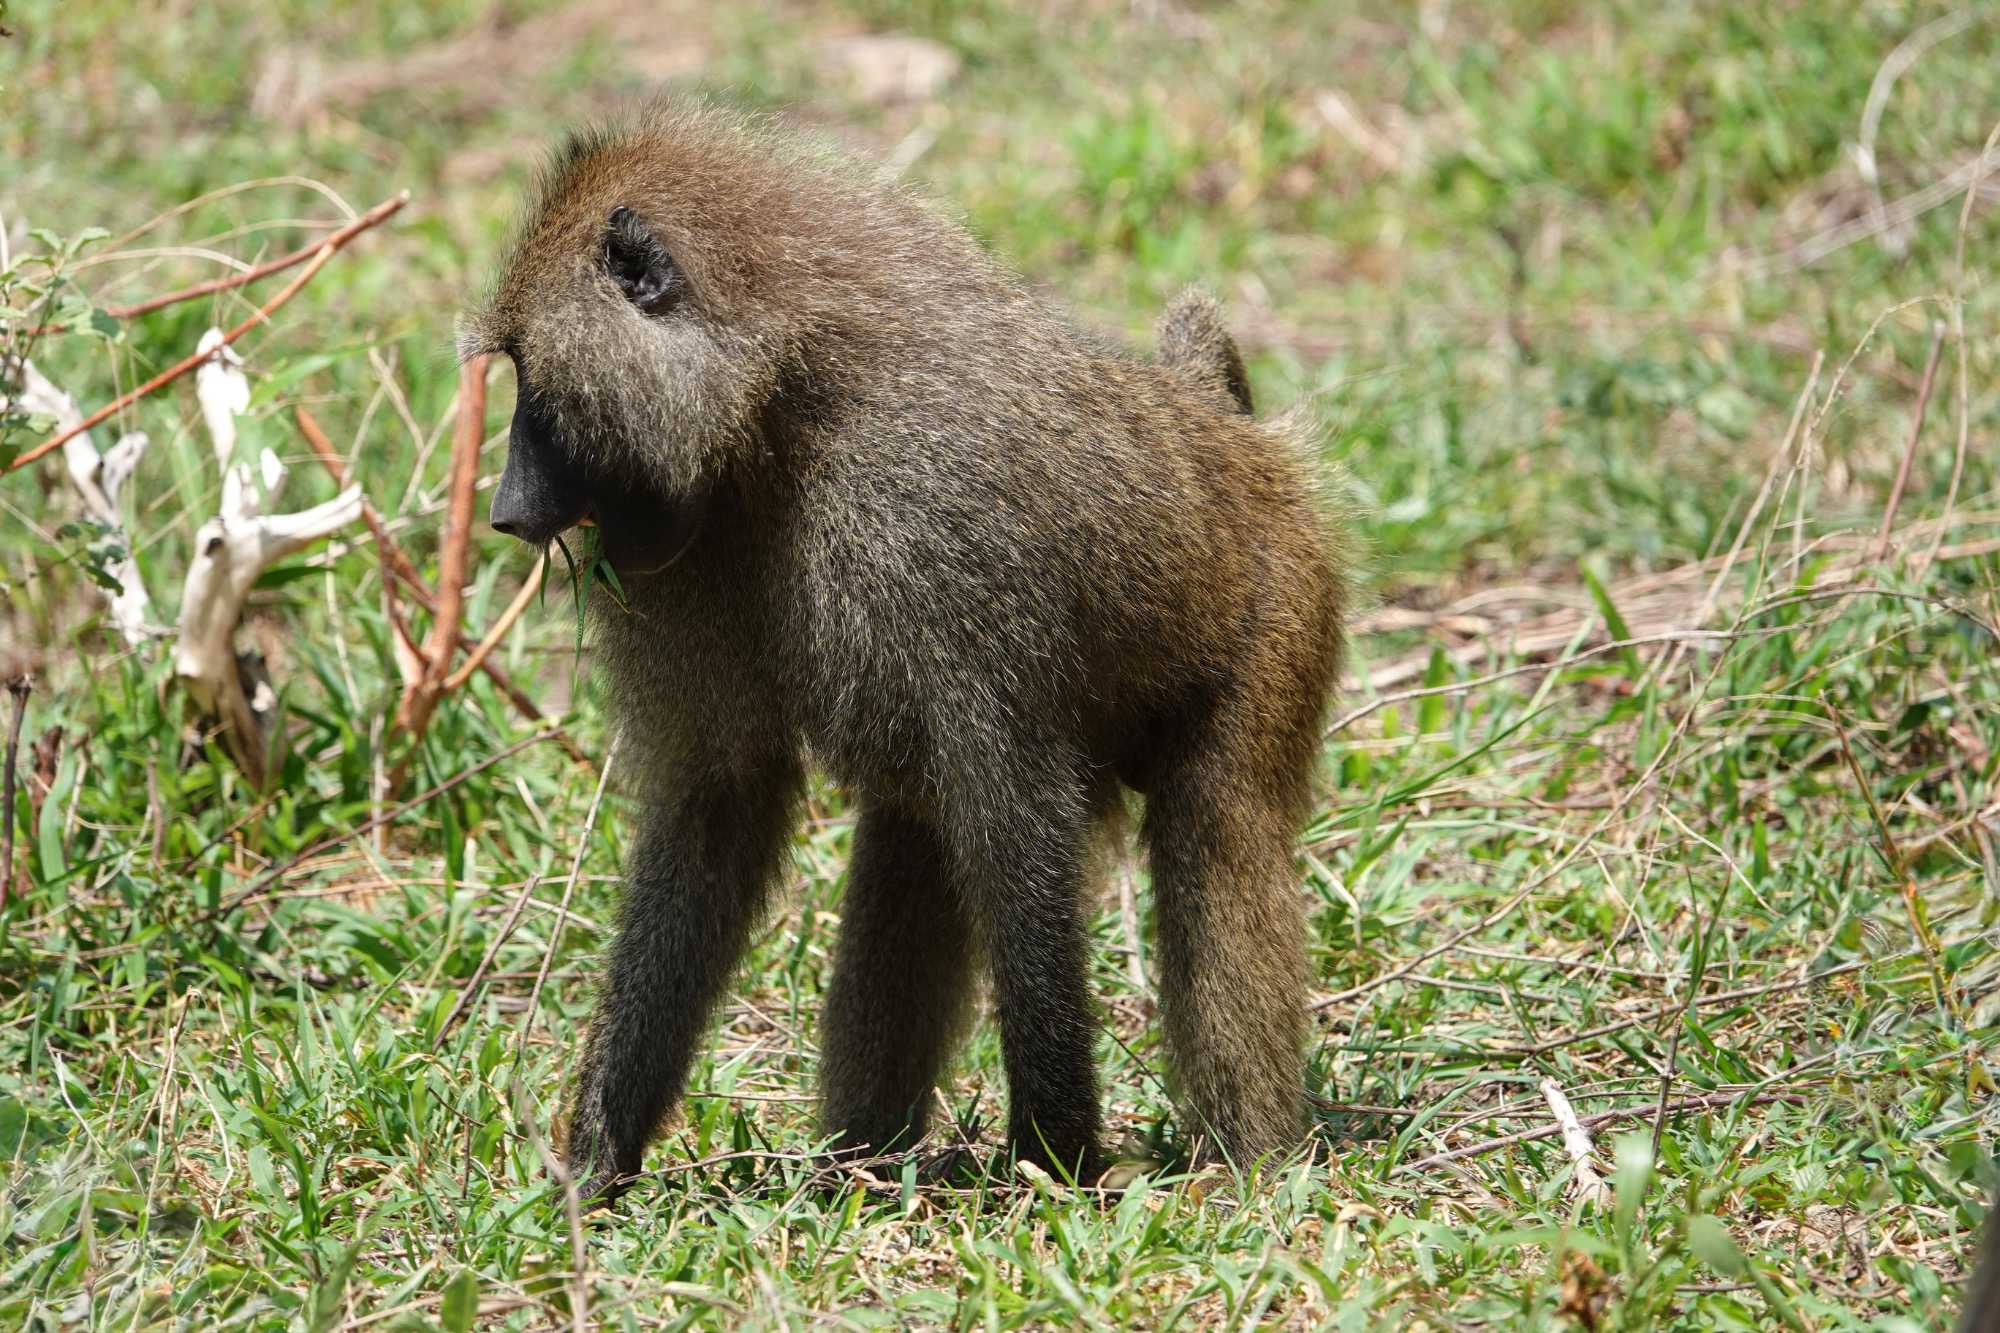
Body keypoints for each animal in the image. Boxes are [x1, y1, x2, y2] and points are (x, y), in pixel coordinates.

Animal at [462, 98, 1346, 1203]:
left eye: (532, 384)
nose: (505, 512)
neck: (780, 411)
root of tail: (1228, 431)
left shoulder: (928, 509)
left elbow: (1012, 811)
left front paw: (1058, 1154)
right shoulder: (675, 561)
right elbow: (723, 804)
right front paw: (597, 1157)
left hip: (1284, 599)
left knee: (1217, 829)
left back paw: (1248, 1168)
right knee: (914, 841)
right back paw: (860, 1166)